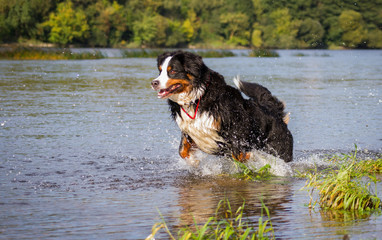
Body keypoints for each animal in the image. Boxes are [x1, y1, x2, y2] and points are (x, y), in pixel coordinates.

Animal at [151, 49, 294, 164]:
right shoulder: (189, 130)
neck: (197, 97)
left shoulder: (236, 131)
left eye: (173, 71)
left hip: (279, 149)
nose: (154, 83)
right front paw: (194, 162)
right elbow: (182, 151)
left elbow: (239, 154)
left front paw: (252, 157)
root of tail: (274, 112)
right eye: (160, 71)